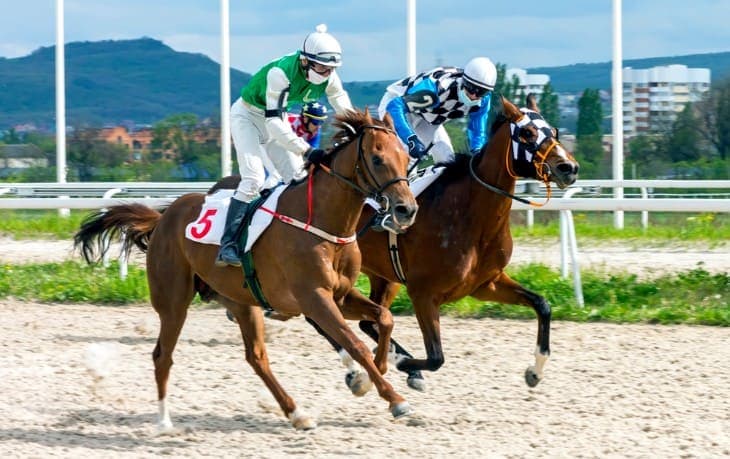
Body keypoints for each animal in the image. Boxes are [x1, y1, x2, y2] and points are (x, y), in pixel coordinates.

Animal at [73, 109, 419, 431]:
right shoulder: (314, 298)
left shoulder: (340, 295)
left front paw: (375, 373)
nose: (407, 209)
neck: (322, 222)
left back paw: (297, 414)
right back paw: (163, 421)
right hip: (173, 301)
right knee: (163, 355)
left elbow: (384, 319)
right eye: (377, 159)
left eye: (405, 157)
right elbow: (355, 343)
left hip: (241, 300)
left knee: (256, 357)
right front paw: (395, 399)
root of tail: (163, 218)